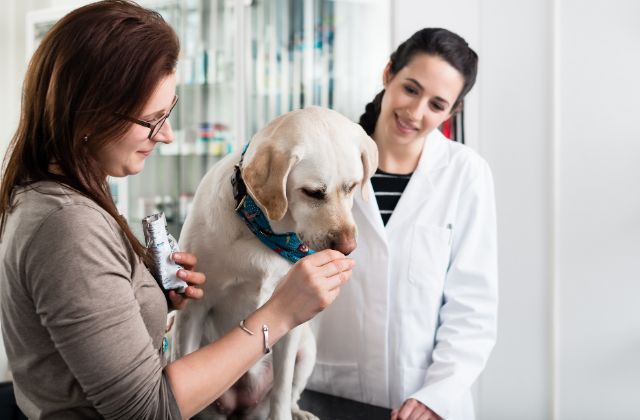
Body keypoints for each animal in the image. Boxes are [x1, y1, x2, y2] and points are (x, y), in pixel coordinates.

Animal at [172, 106, 378, 418]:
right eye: (313, 192)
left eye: (352, 186)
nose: (347, 248)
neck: (264, 230)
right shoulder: (193, 310)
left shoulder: (291, 326)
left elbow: (282, 389)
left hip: (307, 350)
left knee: (290, 392)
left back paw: (298, 411)